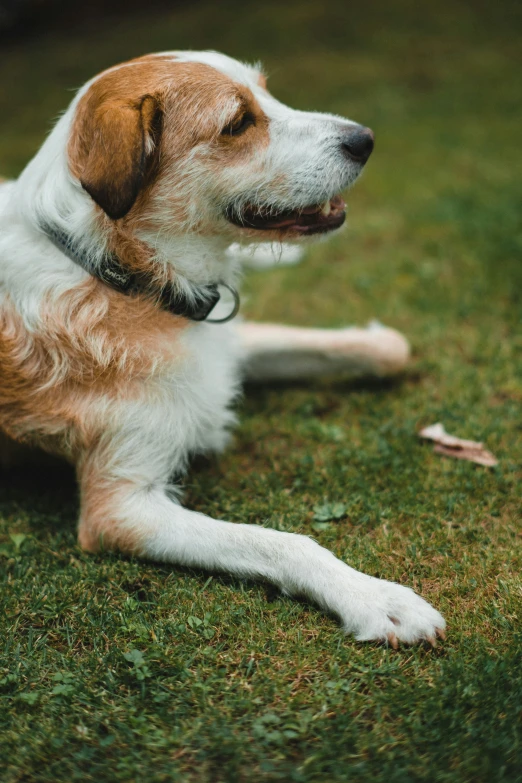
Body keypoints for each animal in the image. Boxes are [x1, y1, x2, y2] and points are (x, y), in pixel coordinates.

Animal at [0, 52, 442, 648]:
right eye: (237, 123)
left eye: (267, 93)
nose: (365, 139)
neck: (120, 274)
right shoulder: (123, 509)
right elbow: (282, 542)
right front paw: (377, 599)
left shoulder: (226, 344)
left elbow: (387, 348)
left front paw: (378, 342)